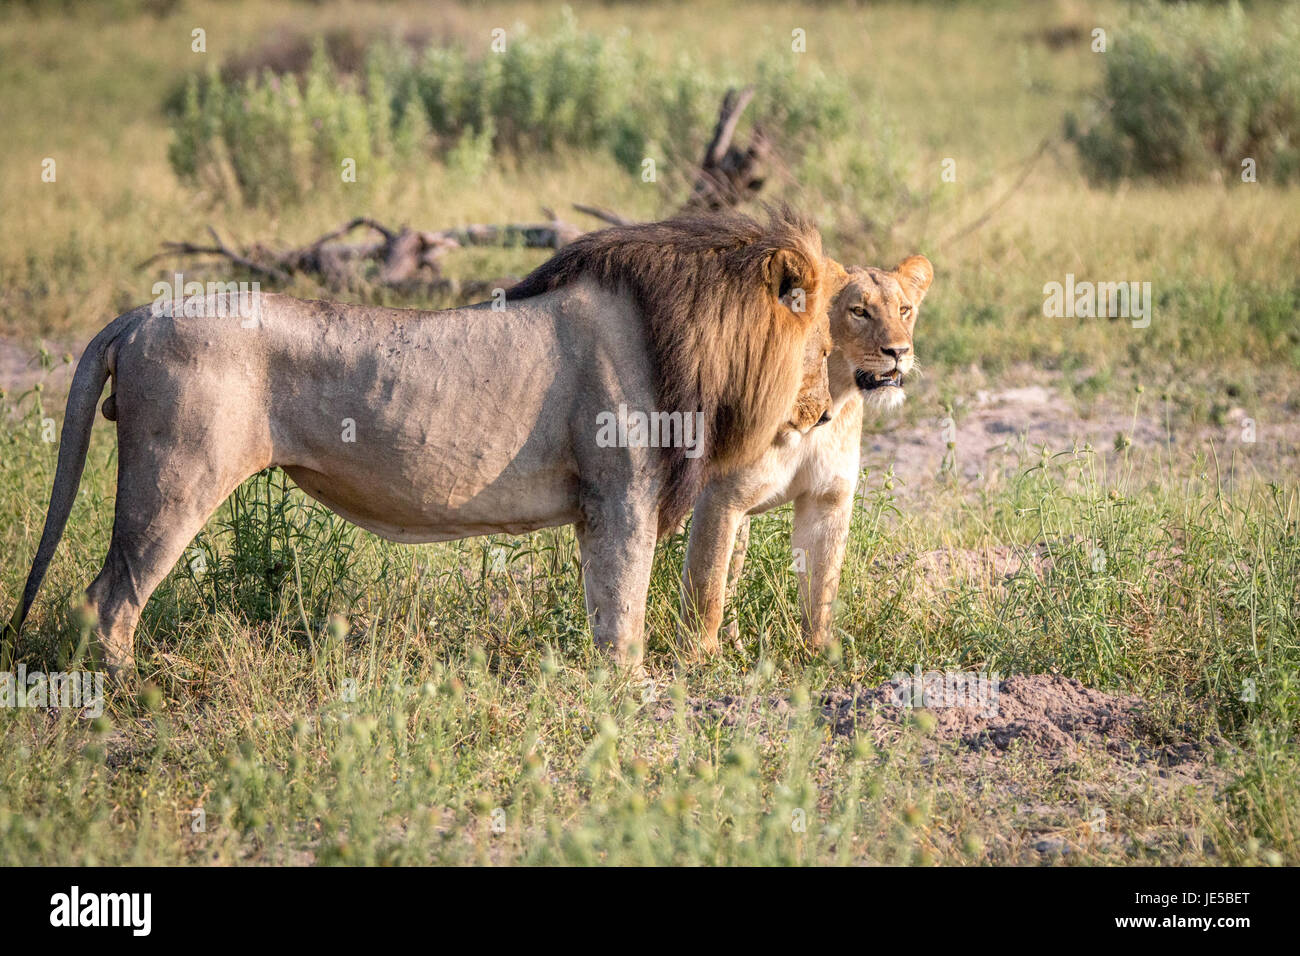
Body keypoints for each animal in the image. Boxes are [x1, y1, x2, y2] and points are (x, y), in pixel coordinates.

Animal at [4, 210, 834, 676]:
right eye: (826, 345)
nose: (827, 412)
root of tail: (139, 315)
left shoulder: (604, 505)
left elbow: (604, 603)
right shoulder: (623, 493)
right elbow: (623, 608)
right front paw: (628, 689)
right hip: (175, 477)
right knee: (109, 597)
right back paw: (136, 688)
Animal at [680, 255, 933, 653]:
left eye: (904, 310)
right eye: (859, 311)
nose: (899, 353)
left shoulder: (826, 499)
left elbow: (821, 587)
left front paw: (819, 652)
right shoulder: (719, 498)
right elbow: (706, 589)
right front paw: (698, 660)